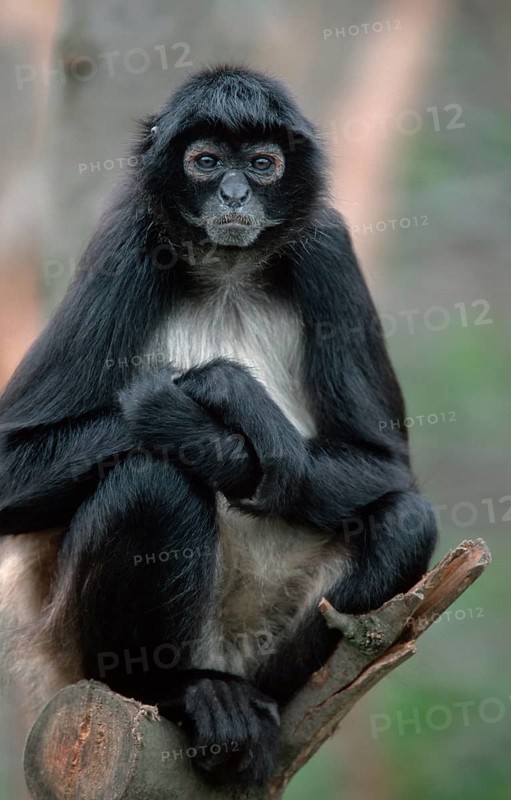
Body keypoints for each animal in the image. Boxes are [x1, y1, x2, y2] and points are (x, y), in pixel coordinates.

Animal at [0, 65, 437, 785]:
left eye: (261, 164)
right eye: (205, 162)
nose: (234, 192)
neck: (228, 269)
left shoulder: (327, 244)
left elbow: (384, 464)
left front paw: (227, 422)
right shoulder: (128, 239)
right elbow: (9, 470)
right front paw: (218, 400)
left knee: (405, 520)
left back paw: (249, 700)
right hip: (72, 647)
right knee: (151, 479)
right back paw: (183, 693)